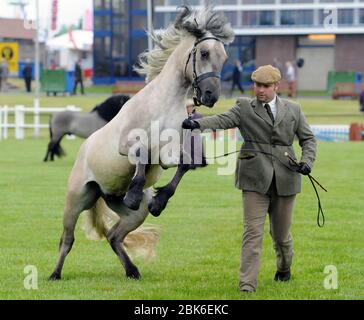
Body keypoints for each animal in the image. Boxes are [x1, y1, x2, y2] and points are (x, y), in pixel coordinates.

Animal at [49, 4, 233, 280]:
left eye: (224, 57)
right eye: (203, 52)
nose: (211, 95)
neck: (163, 104)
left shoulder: (168, 153)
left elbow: (184, 164)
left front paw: (160, 199)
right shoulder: (127, 145)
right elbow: (141, 152)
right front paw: (135, 193)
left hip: (130, 213)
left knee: (114, 236)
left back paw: (132, 270)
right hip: (75, 200)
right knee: (67, 240)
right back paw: (55, 274)